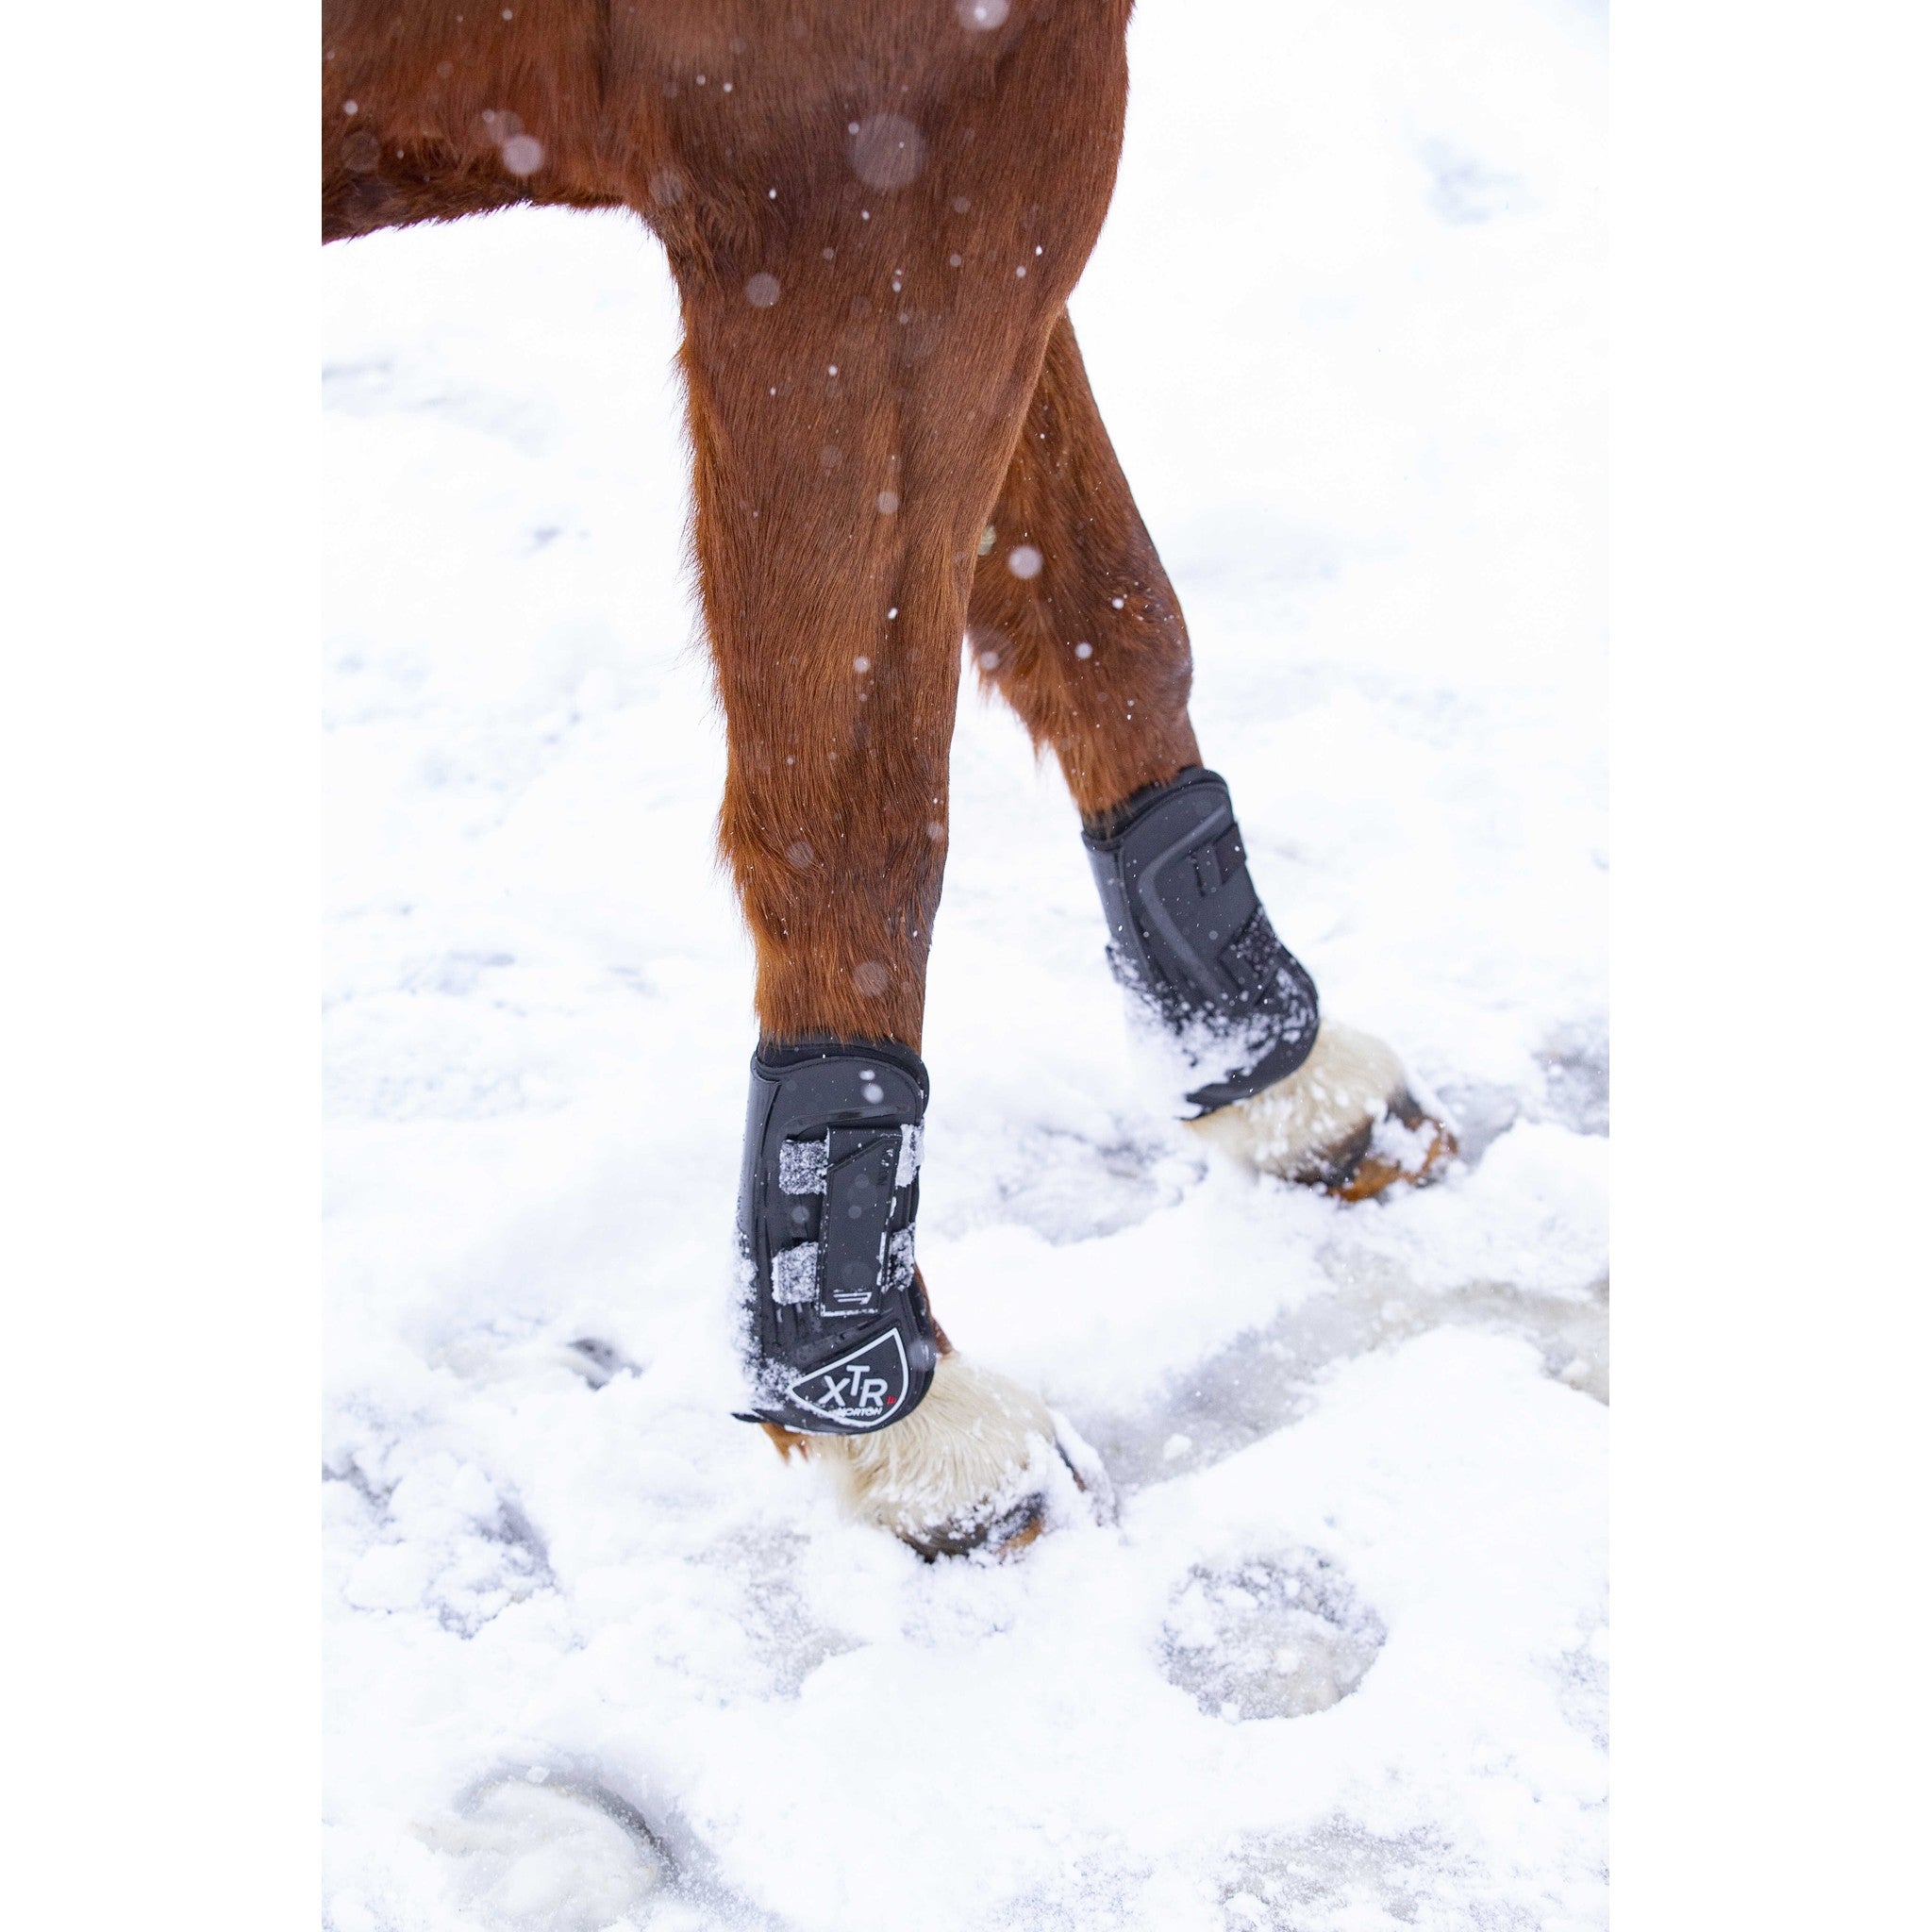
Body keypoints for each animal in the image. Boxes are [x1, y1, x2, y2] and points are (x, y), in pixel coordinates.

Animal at [322, 0, 1453, 1557]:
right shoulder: (879, 181)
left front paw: (1274, 1070)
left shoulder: (984, 164)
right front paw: (893, 1411)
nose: (1271, 1055)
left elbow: (1107, 613)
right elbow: (857, 806)